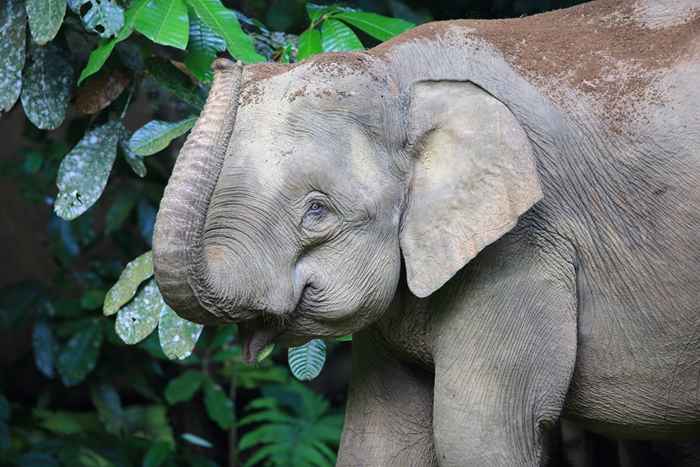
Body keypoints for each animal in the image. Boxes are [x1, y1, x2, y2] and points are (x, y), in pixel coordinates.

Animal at [153, 0, 700, 466]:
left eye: (317, 212)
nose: (224, 63)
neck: (397, 79)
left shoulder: (525, 244)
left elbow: (481, 436)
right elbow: (377, 438)